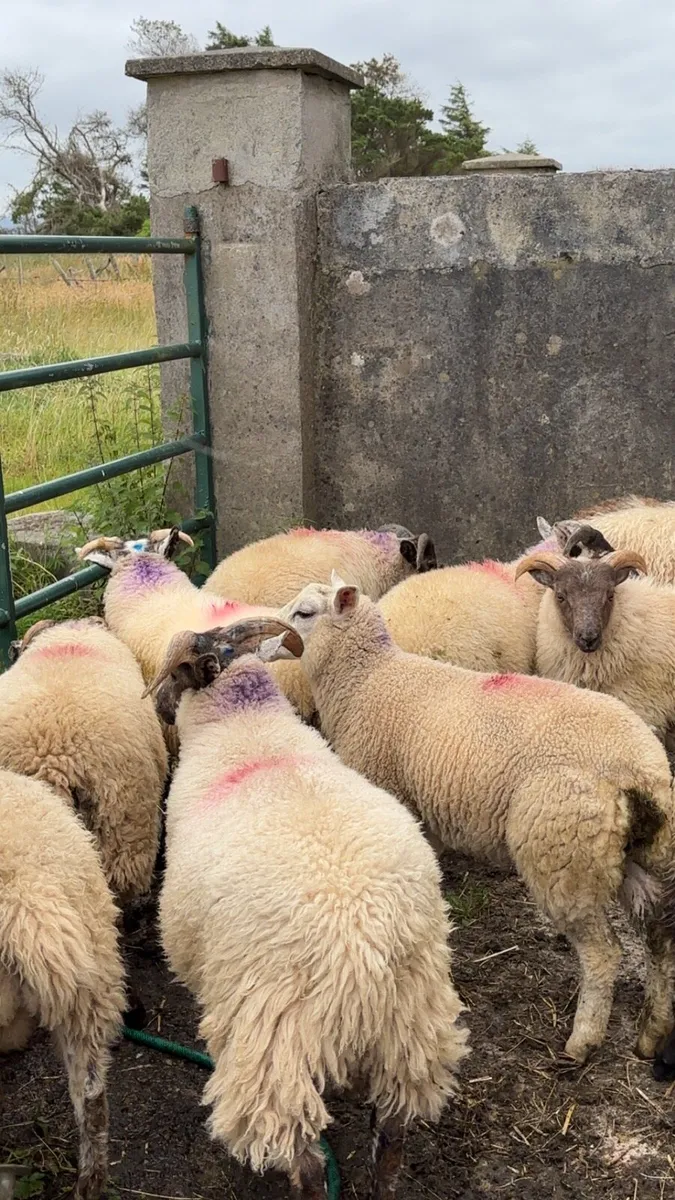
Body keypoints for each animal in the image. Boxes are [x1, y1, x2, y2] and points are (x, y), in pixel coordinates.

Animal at [143, 615, 468, 1198]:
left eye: (176, 673)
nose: (157, 705)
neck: (245, 726)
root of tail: (361, 953)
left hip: (275, 1045)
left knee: (305, 1157)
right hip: (415, 1025)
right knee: (392, 1135)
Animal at [279, 573, 675, 1065]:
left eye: (305, 613)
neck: (368, 679)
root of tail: (639, 768)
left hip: (563, 853)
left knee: (604, 953)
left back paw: (581, 1042)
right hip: (644, 859)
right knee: (661, 942)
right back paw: (651, 1034)